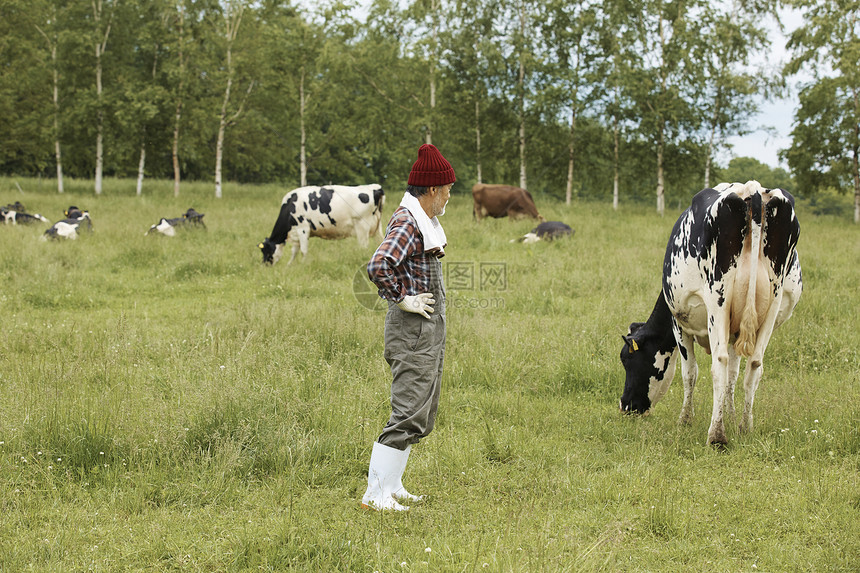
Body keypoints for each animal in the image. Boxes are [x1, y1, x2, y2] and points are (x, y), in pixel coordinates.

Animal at [256, 184, 384, 264]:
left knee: (363, 247)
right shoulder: (296, 231)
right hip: (377, 228)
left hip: (362, 226)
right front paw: (289, 265)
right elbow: (294, 251)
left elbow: (303, 250)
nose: (264, 264)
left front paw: (303, 264)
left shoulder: (303, 228)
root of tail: (374, 188)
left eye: (266, 250)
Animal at [620, 181, 804, 444]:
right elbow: (733, 376)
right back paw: (745, 427)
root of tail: (753, 190)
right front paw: (731, 415)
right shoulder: (736, 332)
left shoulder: (680, 325)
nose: (625, 406)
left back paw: (716, 436)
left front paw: (685, 420)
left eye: (627, 359)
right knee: (755, 364)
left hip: (718, 299)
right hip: (772, 303)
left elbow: (690, 373)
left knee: (719, 363)